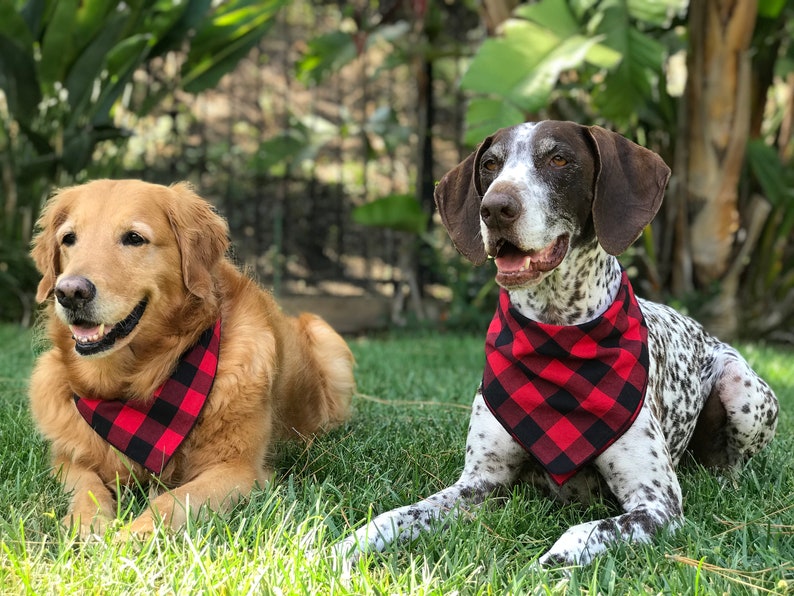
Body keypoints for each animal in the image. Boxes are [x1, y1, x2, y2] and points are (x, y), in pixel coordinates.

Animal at [29, 179, 354, 536]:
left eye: (134, 238)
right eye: (68, 239)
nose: (70, 292)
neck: (134, 386)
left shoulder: (239, 470)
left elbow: (171, 501)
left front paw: (133, 535)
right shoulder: (68, 459)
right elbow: (87, 488)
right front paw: (88, 525)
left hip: (325, 337)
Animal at [336, 120, 780, 564]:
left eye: (559, 159)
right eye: (490, 165)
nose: (495, 208)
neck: (557, 331)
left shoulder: (657, 503)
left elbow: (583, 534)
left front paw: (546, 565)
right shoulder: (480, 482)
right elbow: (399, 514)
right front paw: (346, 545)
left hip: (743, 388)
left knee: (731, 463)